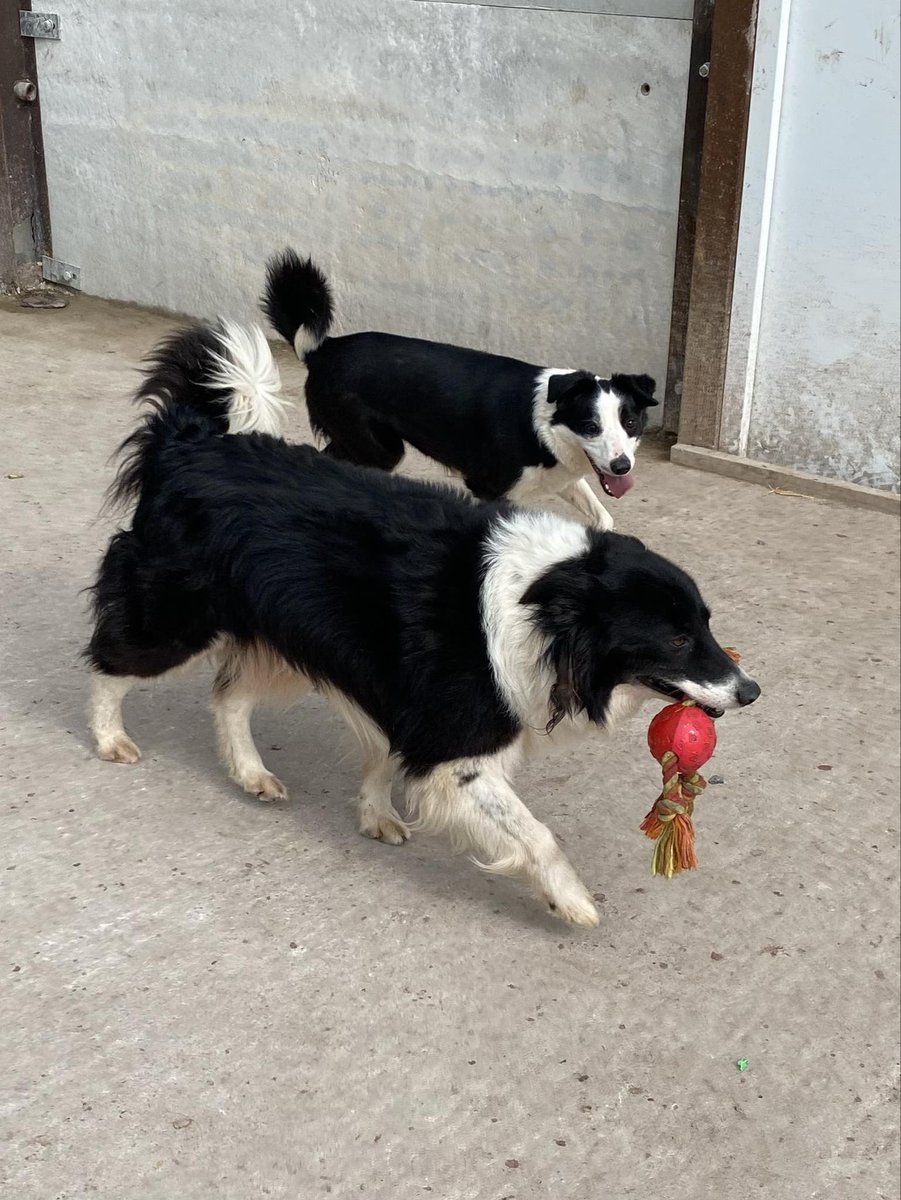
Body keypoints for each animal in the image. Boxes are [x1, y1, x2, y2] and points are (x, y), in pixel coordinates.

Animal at [263, 248, 657, 530]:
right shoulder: (490, 489)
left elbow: (603, 518)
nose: (622, 466)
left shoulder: (561, 477)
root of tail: (324, 350)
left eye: (631, 424)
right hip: (377, 447)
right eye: (590, 426)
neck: (544, 421)